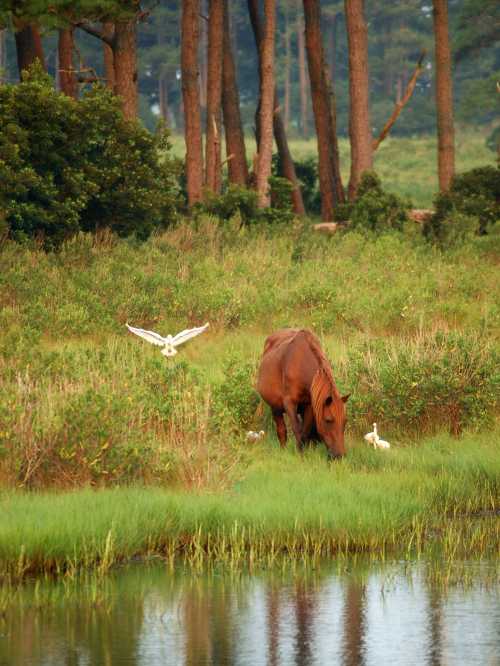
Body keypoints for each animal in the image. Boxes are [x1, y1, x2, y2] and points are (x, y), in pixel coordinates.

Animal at [258, 326, 348, 456]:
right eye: (328, 420)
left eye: (345, 422)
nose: (339, 455)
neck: (301, 362)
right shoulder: (289, 403)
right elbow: (297, 430)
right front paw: (300, 454)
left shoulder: (309, 405)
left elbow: (305, 431)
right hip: (275, 407)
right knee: (281, 431)